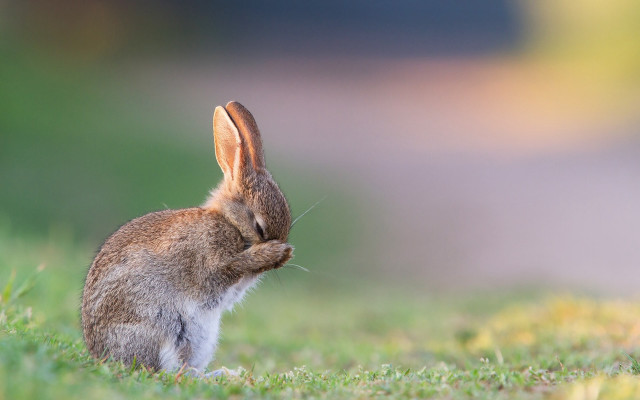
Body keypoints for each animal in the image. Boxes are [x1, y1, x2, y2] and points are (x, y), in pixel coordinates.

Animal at [81, 101, 293, 374]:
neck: (230, 222)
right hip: (159, 327)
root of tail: (102, 355)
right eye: (259, 227)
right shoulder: (211, 261)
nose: (281, 255)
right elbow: (230, 268)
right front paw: (273, 253)